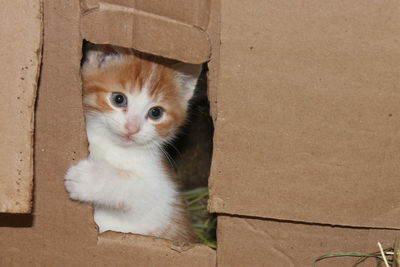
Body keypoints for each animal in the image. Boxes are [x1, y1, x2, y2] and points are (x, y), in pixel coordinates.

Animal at [64, 44, 202, 243]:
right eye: (118, 99)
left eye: (155, 113)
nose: (132, 128)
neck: (111, 147)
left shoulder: (164, 197)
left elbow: (141, 191)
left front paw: (90, 178)